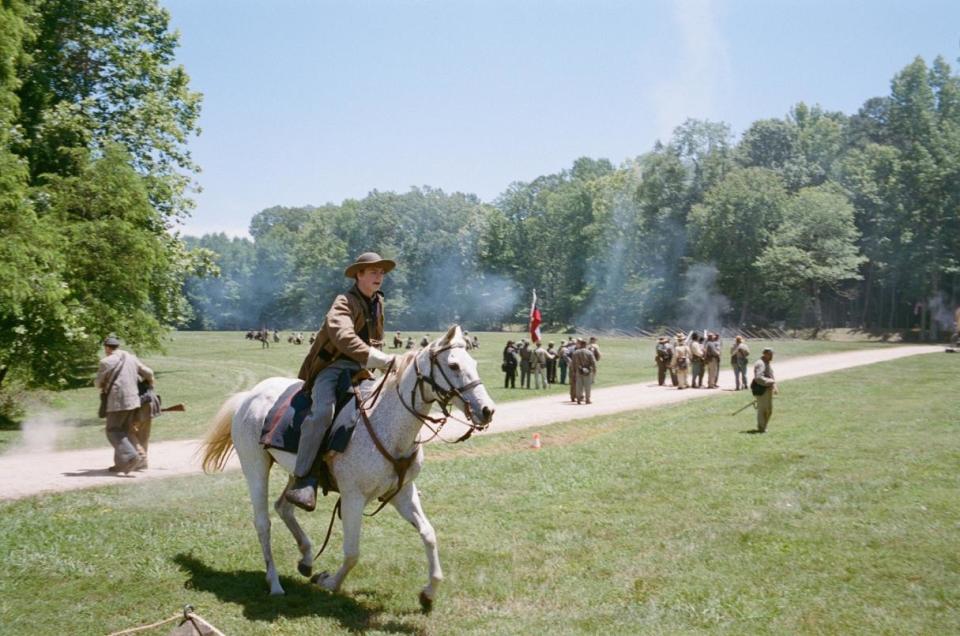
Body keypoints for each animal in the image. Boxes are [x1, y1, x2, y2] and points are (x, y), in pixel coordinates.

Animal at [197, 326, 496, 608]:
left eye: (473, 362)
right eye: (454, 366)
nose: (487, 410)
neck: (387, 425)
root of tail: (250, 395)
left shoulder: (403, 492)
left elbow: (429, 534)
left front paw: (429, 592)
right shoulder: (353, 498)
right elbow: (352, 553)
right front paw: (330, 582)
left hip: (298, 472)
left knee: (284, 506)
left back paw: (306, 558)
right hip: (255, 466)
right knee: (263, 523)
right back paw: (275, 583)